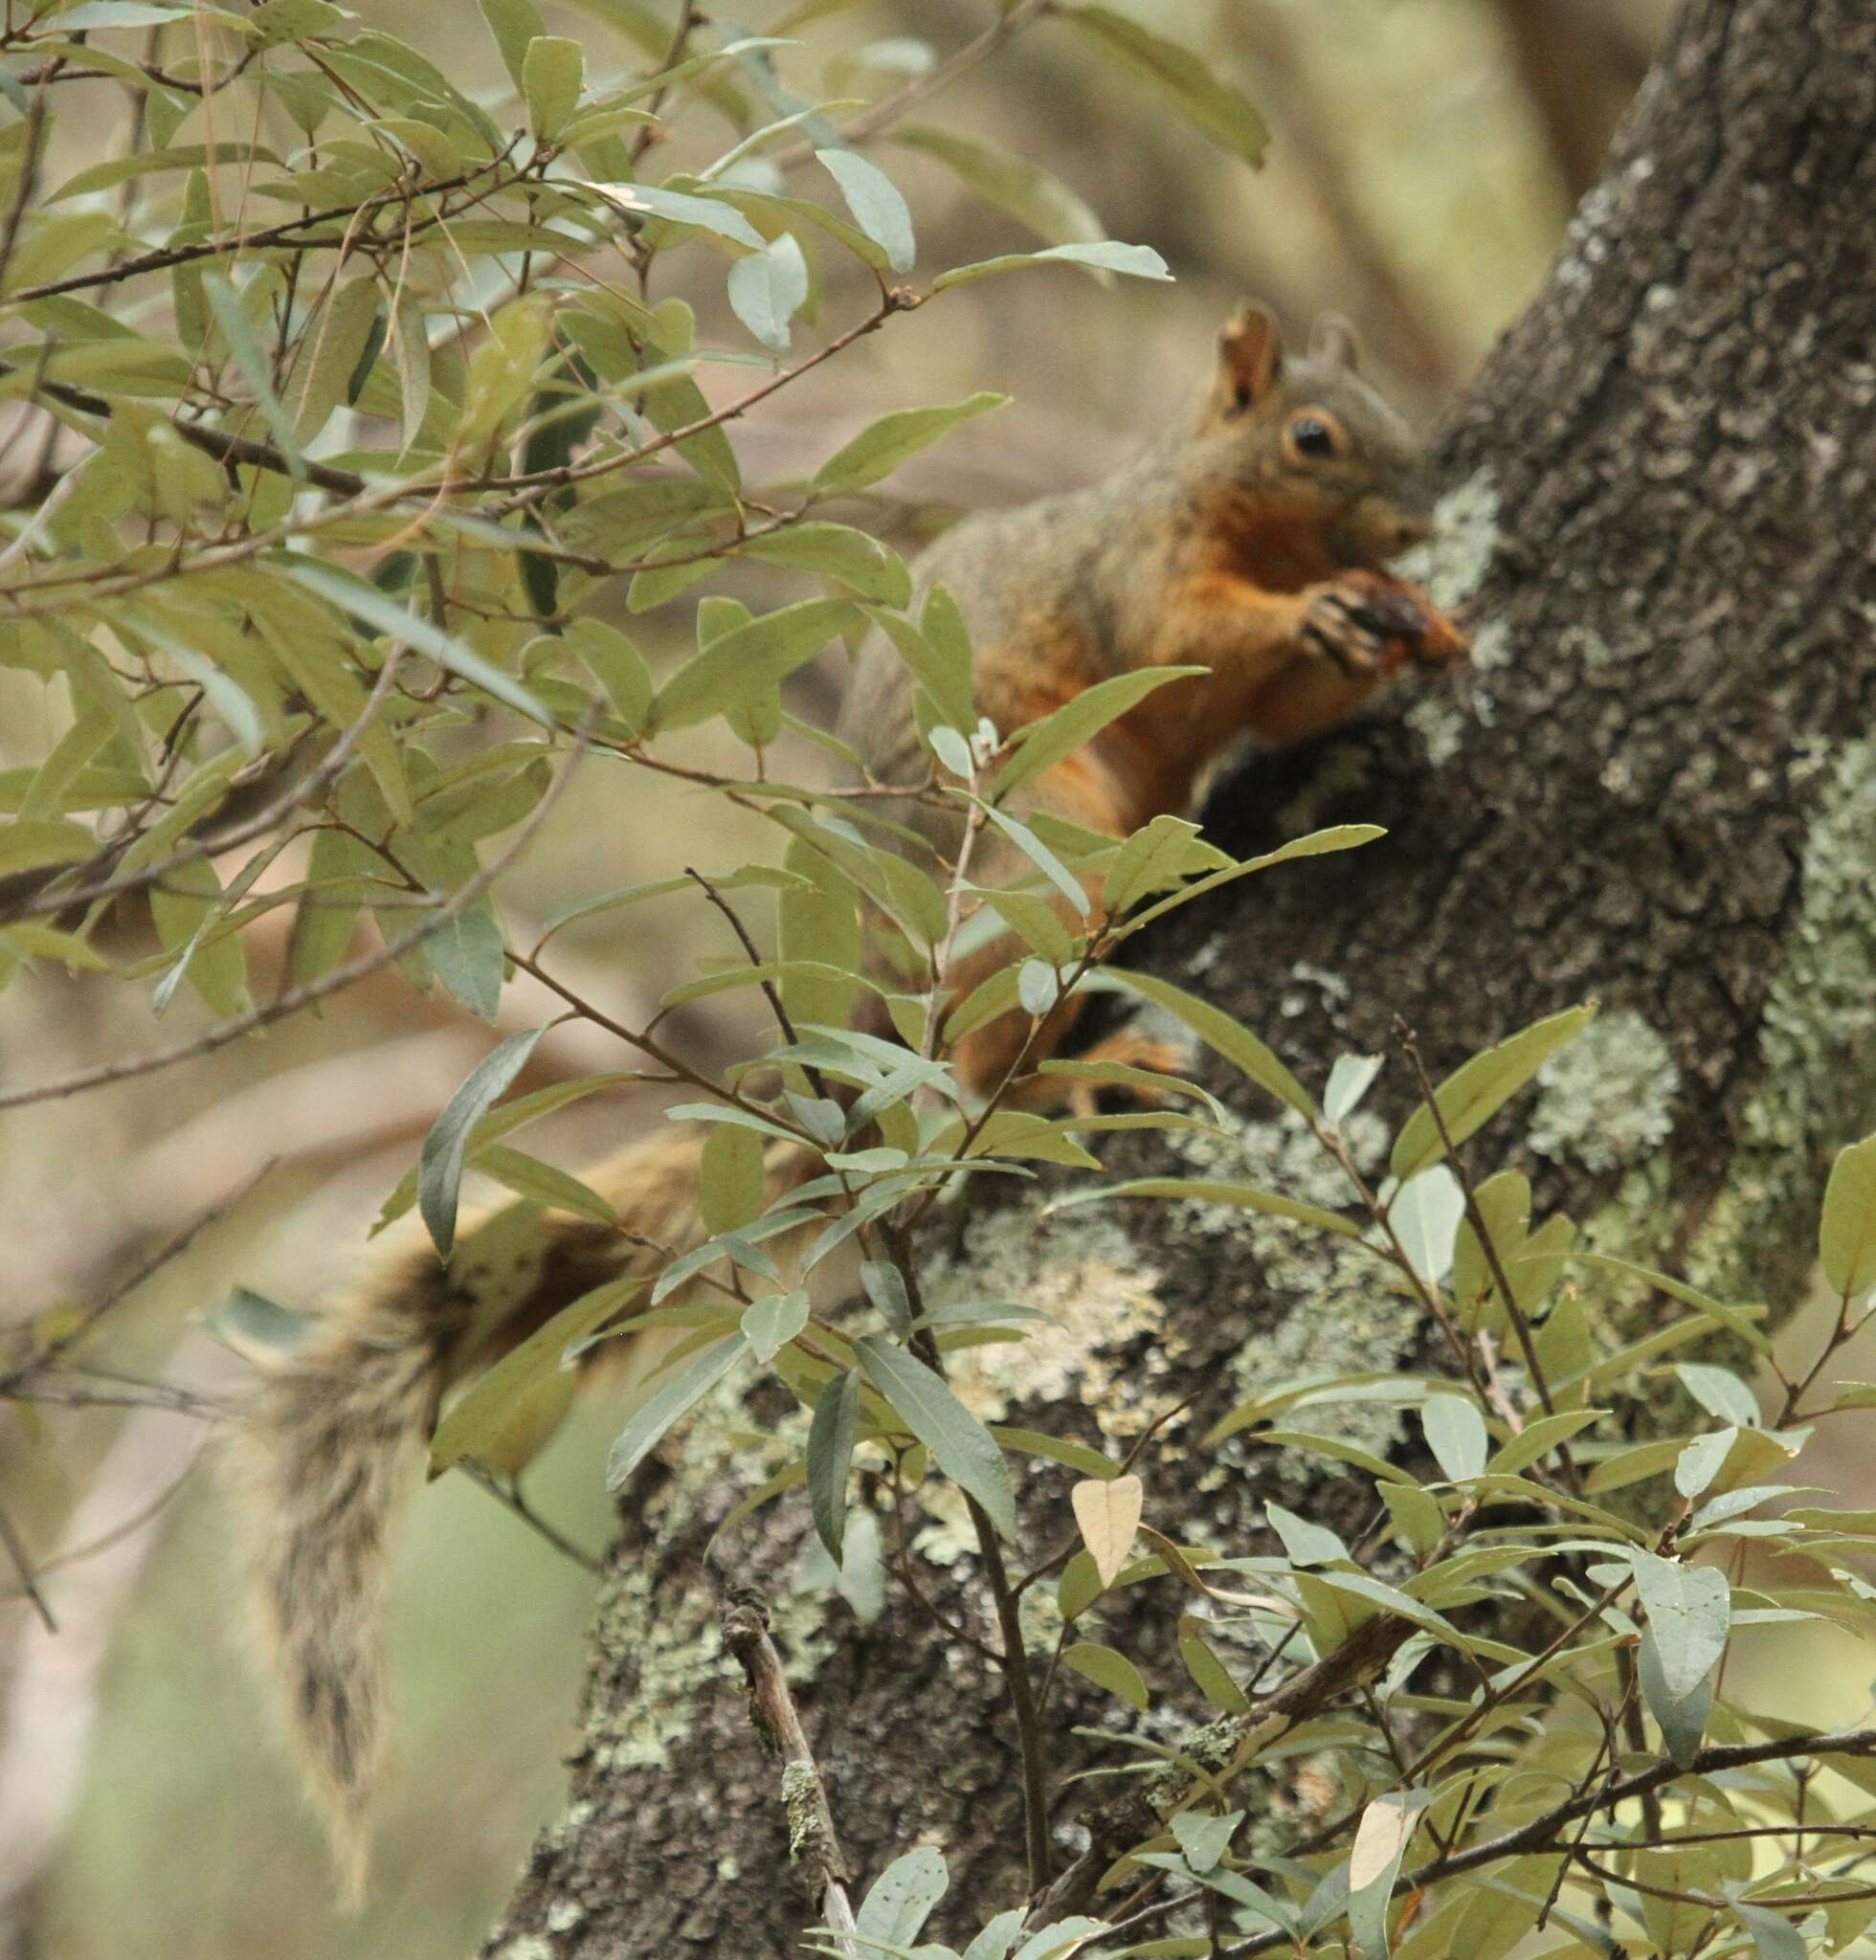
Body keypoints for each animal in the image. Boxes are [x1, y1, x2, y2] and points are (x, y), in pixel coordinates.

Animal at [234, 294, 1465, 1897]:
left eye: (1394, 419)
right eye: (1314, 436)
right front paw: (1325, 609)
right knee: (986, 1063)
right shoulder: (1135, 574)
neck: (1215, 497)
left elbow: (1303, 697)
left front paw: (1414, 621)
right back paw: (1089, 1077)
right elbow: (1188, 641)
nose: (1421, 519)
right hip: (1037, 860)